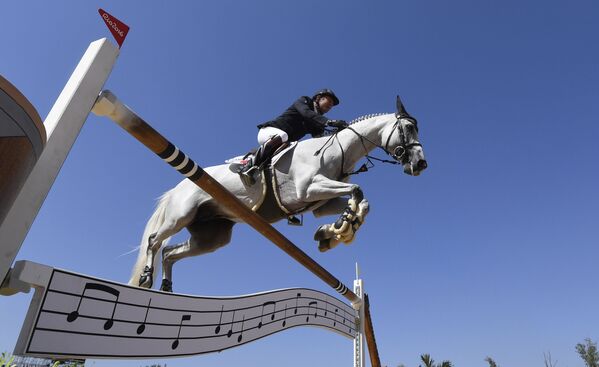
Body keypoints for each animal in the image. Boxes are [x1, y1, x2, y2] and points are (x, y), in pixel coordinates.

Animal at [132, 96, 426, 292]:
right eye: (407, 128)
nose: (420, 164)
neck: (337, 151)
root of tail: (177, 188)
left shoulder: (321, 202)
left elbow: (362, 201)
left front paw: (334, 232)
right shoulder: (309, 189)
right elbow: (357, 190)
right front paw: (340, 228)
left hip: (212, 236)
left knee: (170, 252)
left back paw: (167, 286)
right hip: (181, 215)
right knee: (155, 241)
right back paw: (146, 277)